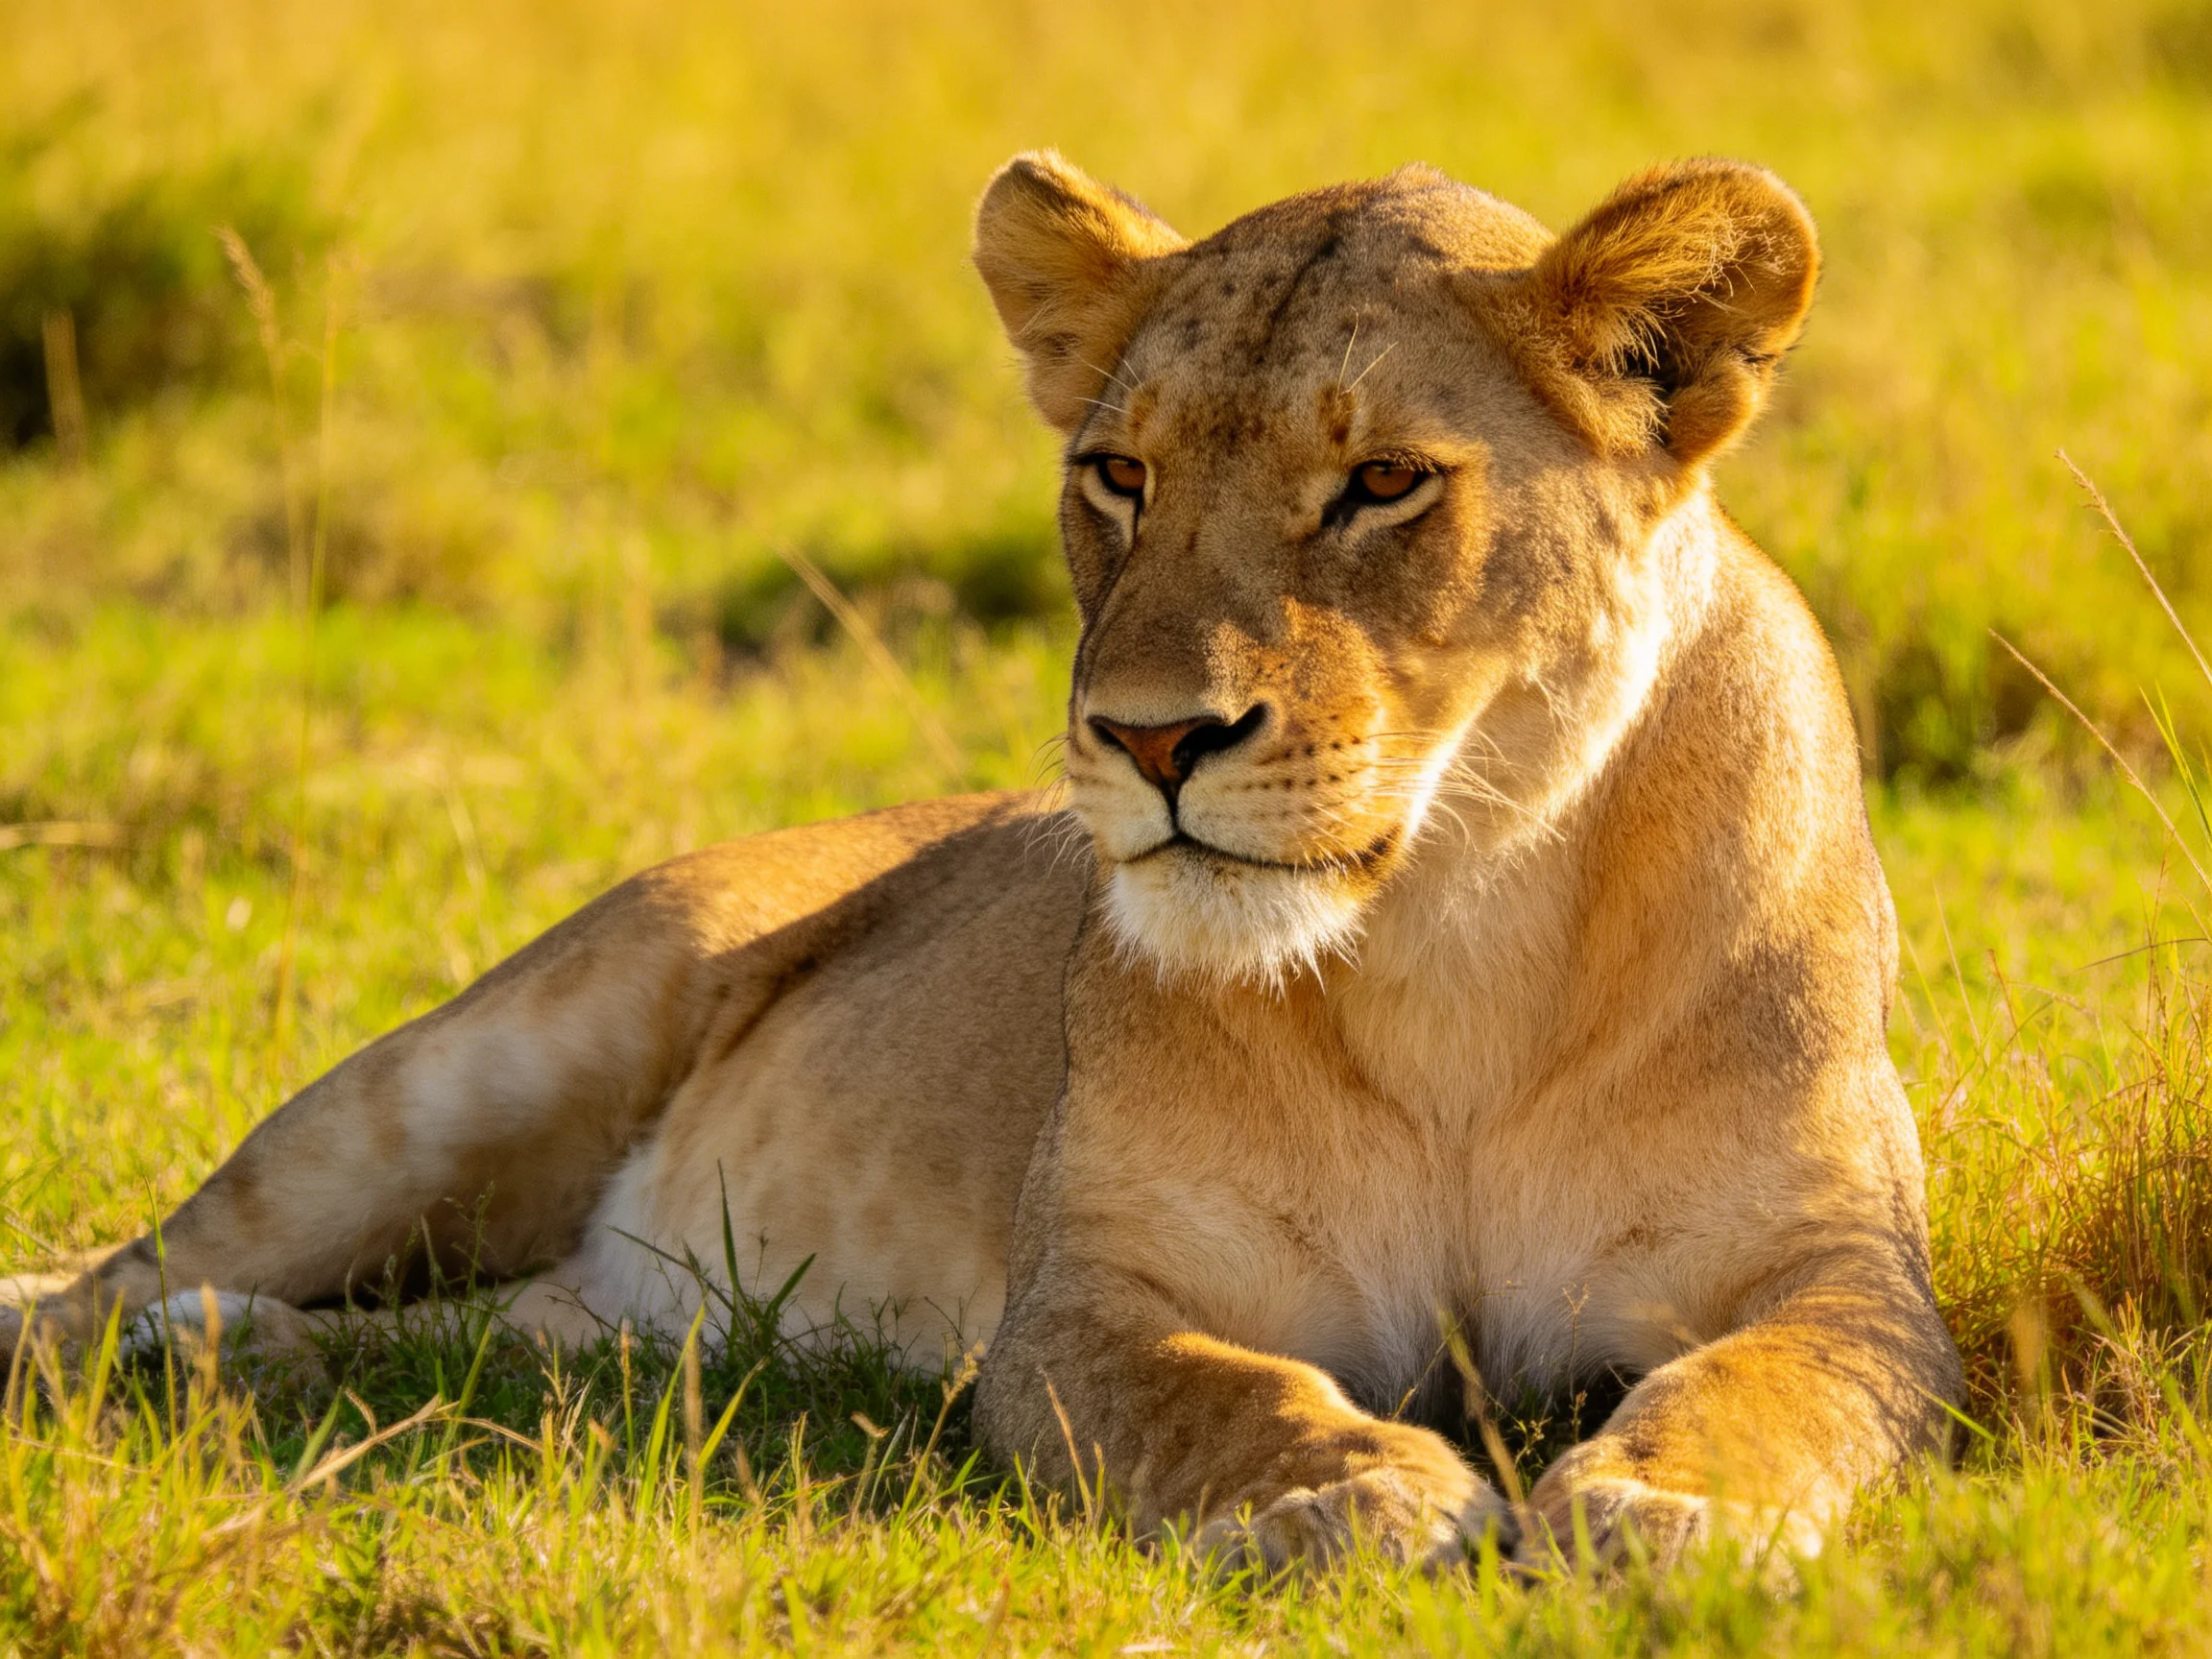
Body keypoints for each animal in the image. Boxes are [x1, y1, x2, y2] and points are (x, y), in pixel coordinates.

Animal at [3, 152, 1962, 1572]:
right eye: (1117, 473)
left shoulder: (1840, 1267)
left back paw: (235, 1354)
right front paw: (1353, 1492)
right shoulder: (1083, 1300)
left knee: (465, 1340)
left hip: (609, 1323)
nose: (1153, 739)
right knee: (131, 1269)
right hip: (462, 1076)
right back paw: (136, 1336)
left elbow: (1775, 1384)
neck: (1452, 941)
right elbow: (1215, 1395)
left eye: (1384, 484)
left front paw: (1669, 1506)